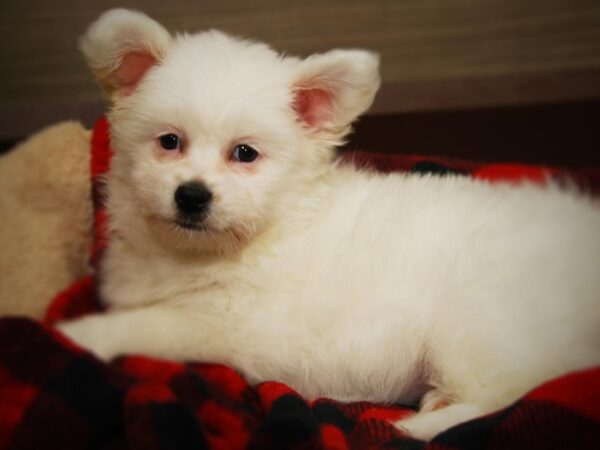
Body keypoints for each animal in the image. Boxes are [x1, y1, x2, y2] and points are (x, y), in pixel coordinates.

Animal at [59, 8, 600, 442]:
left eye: (245, 154)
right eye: (169, 142)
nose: (192, 195)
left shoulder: (217, 324)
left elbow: (141, 325)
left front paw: (78, 336)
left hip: (477, 322)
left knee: (500, 399)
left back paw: (414, 427)